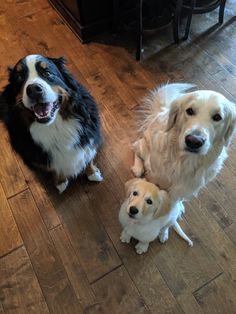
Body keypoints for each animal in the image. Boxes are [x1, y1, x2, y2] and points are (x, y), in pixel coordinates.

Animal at [0, 54, 103, 193]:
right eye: (19, 78)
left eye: (47, 73)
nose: (33, 89)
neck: (54, 126)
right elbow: (54, 168)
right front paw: (60, 182)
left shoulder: (88, 140)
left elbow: (88, 157)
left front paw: (93, 173)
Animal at [133, 83, 236, 240]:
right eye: (190, 111)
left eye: (217, 117)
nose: (194, 141)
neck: (185, 161)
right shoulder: (155, 176)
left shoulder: (189, 185)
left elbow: (175, 201)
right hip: (144, 147)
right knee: (136, 148)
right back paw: (138, 167)